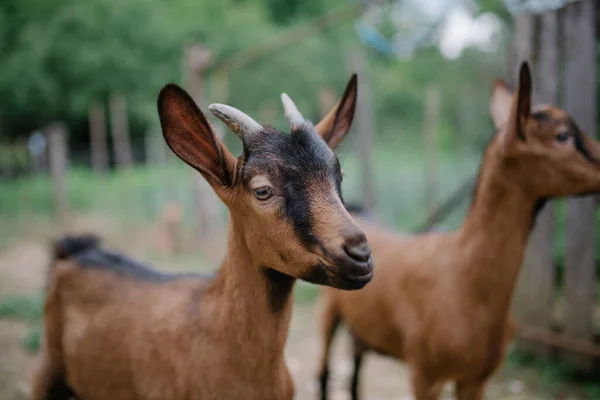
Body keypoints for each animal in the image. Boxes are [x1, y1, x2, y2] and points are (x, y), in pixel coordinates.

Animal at [316, 61, 600, 400]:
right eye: (562, 135)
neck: (465, 281)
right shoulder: (424, 373)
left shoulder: (476, 379)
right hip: (329, 310)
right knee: (324, 371)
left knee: (356, 372)